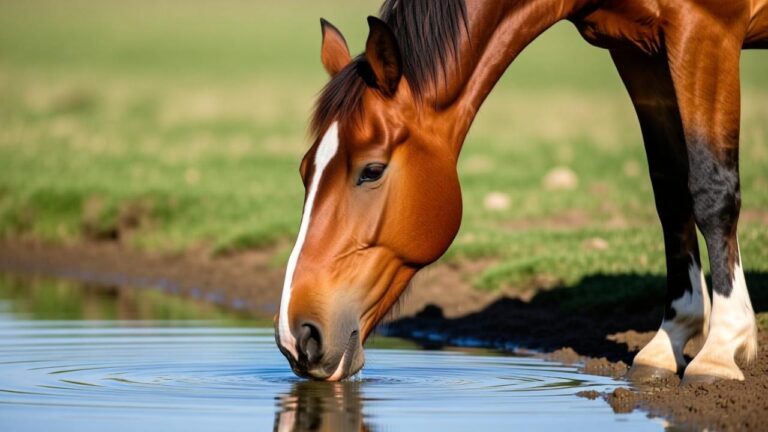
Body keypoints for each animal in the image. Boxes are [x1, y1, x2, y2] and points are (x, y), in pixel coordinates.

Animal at [275, 0, 767, 382]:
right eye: (303, 171)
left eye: (372, 170)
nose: (296, 335)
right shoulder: (637, 50)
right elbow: (670, 189)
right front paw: (670, 340)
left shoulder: (706, 30)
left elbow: (710, 187)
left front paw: (721, 349)